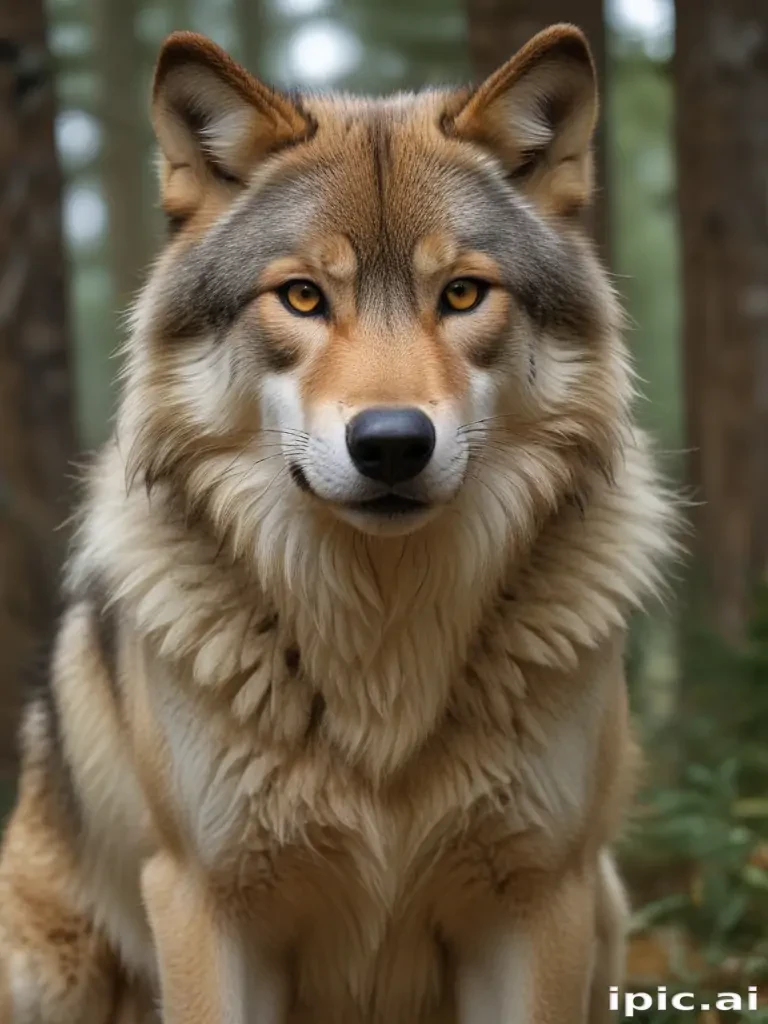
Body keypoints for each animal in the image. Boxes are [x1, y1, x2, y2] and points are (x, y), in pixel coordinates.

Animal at [0, 22, 671, 1024]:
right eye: (304, 297)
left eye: (462, 294)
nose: (391, 444)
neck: (381, 653)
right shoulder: (205, 901)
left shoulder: (537, 896)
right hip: (43, 969)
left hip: (607, 909)